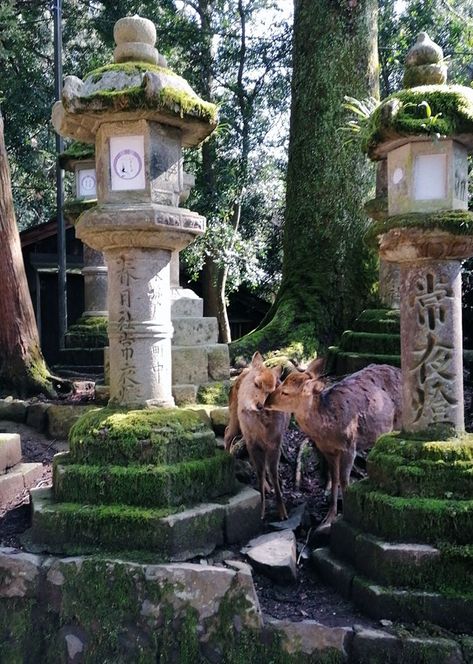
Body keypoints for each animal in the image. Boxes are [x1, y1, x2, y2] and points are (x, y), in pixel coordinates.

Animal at [223, 350, 290, 520]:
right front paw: (262, 512)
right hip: (235, 417)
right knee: (227, 433)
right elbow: (260, 472)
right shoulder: (252, 441)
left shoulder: (275, 442)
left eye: (271, 390)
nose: (260, 405)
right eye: (256, 383)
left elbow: (273, 472)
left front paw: (282, 512)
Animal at [264, 360, 400, 528]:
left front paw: (347, 512)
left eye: (286, 392)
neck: (328, 431)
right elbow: (334, 478)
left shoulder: (350, 446)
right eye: (281, 383)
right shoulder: (327, 450)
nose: (266, 401)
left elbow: (344, 480)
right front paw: (329, 516)